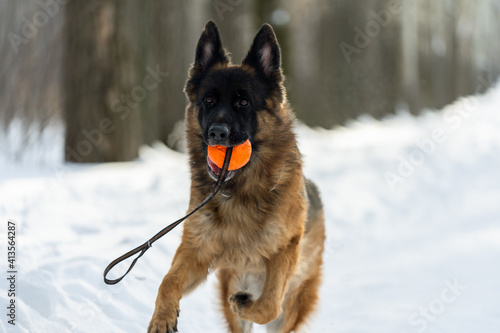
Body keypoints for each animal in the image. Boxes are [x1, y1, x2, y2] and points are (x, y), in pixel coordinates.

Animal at [146, 21, 326, 332]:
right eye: (208, 100)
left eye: (243, 102)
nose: (217, 134)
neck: (241, 188)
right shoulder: (197, 251)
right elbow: (168, 281)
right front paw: (162, 317)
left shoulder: (284, 252)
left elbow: (269, 304)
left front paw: (246, 304)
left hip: (294, 296)